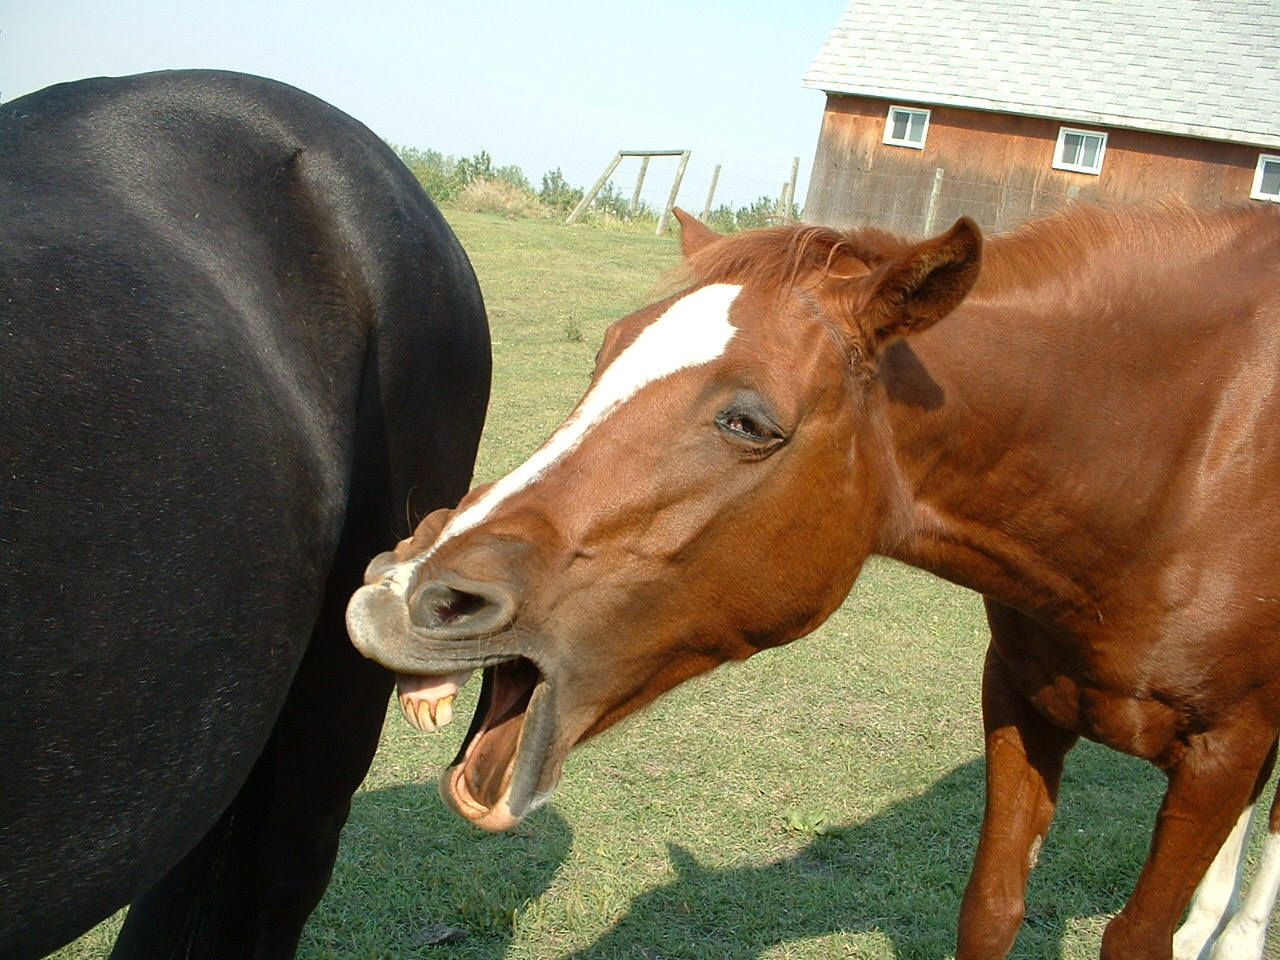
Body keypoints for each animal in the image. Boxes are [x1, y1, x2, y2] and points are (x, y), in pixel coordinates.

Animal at [345, 204, 1280, 960]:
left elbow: (1138, 933)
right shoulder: (1022, 705)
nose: (403, 591)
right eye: (605, 353)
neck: (1176, 468)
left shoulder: (1221, 751)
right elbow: (991, 908)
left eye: (748, 421)